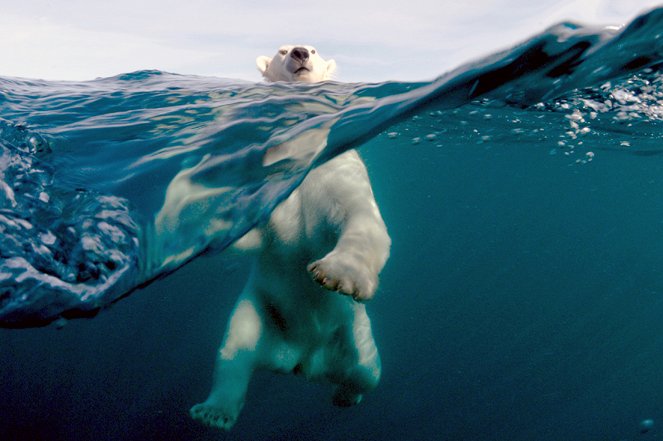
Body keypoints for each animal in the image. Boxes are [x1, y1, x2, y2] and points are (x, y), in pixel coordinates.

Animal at [189, 45, 392, 430]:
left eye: (313, 49)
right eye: (281, 50)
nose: (299, 53)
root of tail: (303, 360)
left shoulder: (335, 169)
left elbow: (360, 216)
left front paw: (338, 274)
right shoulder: (269, 178)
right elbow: (252, 235)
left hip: (352, 331)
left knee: (367, 371)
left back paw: (345, 396)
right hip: (259, 309)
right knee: (234, 351)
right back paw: (213, 412)